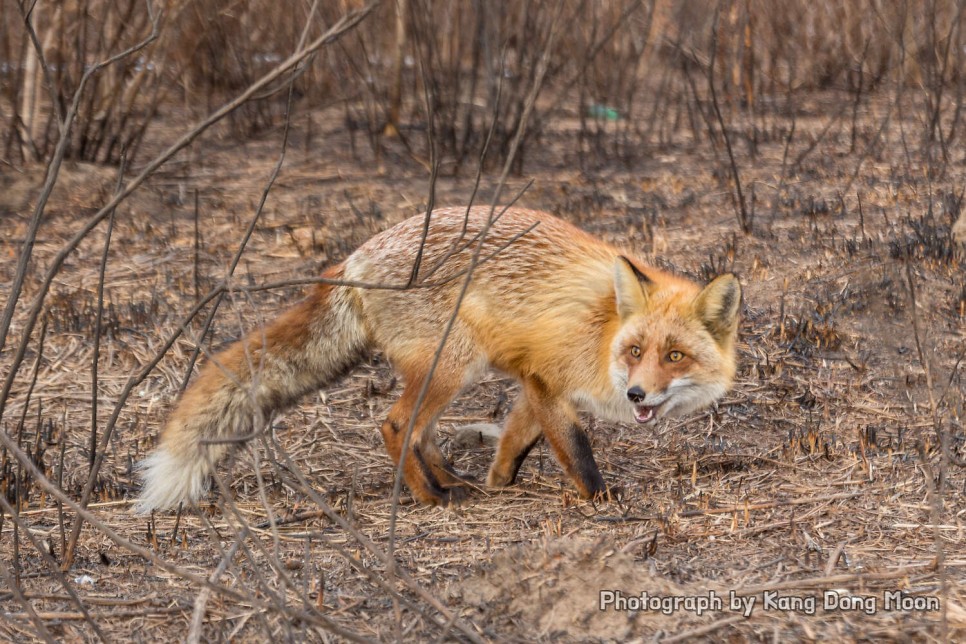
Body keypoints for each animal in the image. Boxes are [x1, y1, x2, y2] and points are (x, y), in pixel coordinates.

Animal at [136, 208, 740, 512]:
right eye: (635, 352)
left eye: (675, 355)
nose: (638, 393)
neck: (602, 333)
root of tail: (355, 256)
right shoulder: (548, 377)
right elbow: (574, 446)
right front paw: (600, 496)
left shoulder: (533, 381)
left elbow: (517, 438)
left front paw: (500, 480)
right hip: (452, 364)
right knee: (396, 424)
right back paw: (430, 495)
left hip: (452, 369)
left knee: (422, 433)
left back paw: (451, 478)